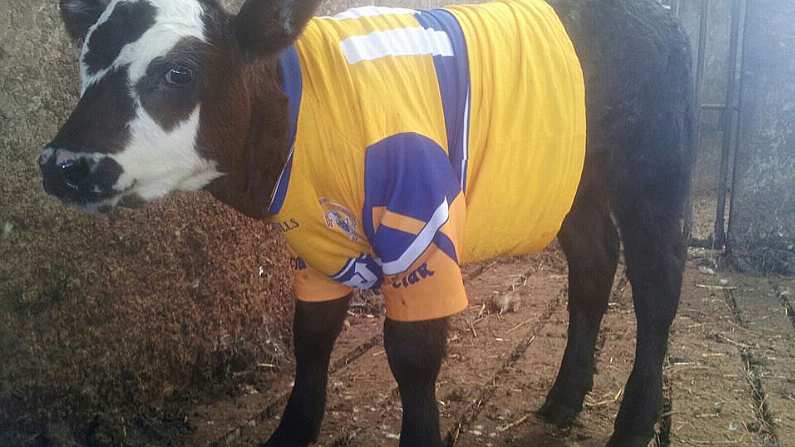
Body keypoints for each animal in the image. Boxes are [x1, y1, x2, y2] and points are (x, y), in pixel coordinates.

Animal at [40, 0, 692, 447]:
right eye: (85, 62)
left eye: (178, 72)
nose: (62, 164)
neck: (302, 112)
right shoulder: (313, 243)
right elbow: (311, 337)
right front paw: (290, 433)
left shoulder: (420, 225)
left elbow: (412, 353)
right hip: (571, 180)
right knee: (594, 264)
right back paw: (563, 400)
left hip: (653, 170)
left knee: (657, 285)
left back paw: (633, 424)